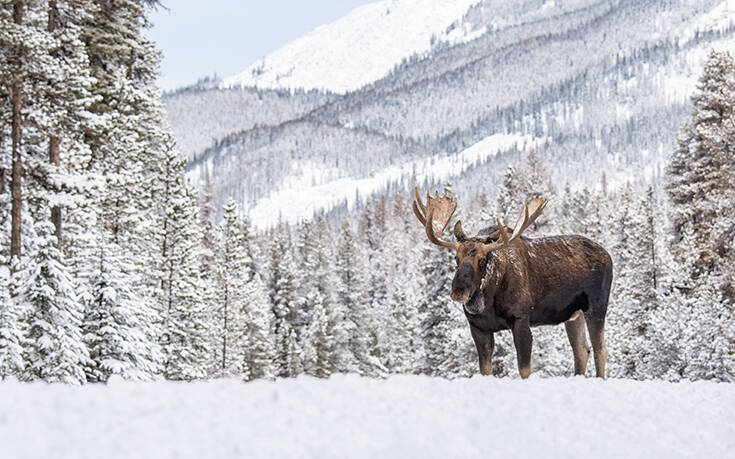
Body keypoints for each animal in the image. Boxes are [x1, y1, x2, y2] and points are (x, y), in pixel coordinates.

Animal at [414, 189, 616, 380]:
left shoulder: (521, 319)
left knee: (600, 350)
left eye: (482, 259)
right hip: (573, 315)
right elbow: (485, 370)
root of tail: (608, 255)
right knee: (582, 350)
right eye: (456, 258)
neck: (489, 301)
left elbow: (524, 369)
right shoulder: (478, 327)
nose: (458, 291)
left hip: (596, 306)